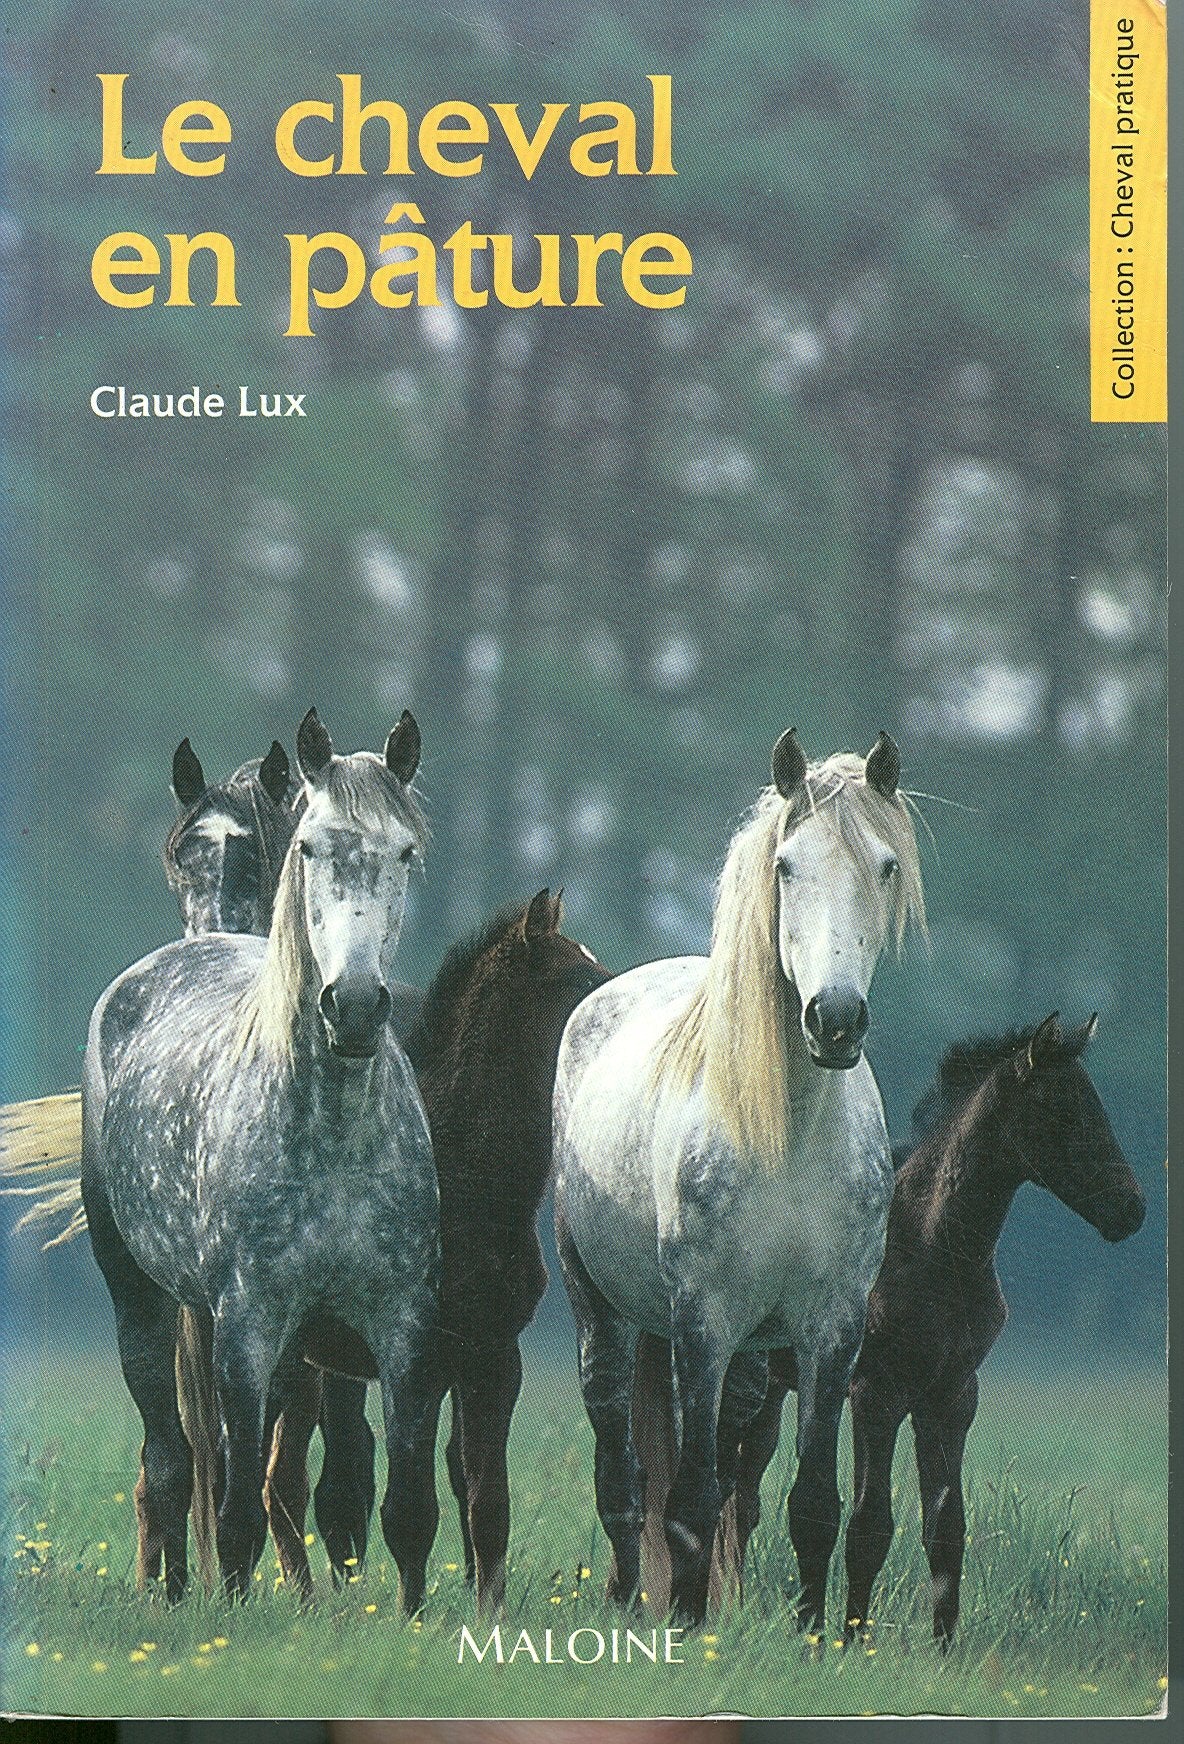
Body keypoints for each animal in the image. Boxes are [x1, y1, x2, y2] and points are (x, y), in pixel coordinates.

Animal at [80, 708, 443, 1608]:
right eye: (308, 847)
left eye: (404, 851)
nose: (355, 1005)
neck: (335, 1134)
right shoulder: (248, 1326)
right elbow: (240, 1504)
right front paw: (237, 1619)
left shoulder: (403, 1324)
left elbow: (406, 1504)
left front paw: (409, 1622)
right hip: (142, 1298)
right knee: (173, 1461)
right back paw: (175, 1593)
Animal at [257, 888, 612, 1611]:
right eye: (577, 981)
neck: (461, 1178)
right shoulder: (414, 1361)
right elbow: (410, 1510)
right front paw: (410, 1619)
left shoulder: (493, 1358)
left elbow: (487, 1502)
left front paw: (489, 1614)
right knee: (271, 1481)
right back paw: (294, 1603)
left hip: (308, 1363)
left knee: (285, 1482)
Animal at [552, 729, 926, 1627]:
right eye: (786, 865)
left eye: (886, 865)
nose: (834, 1019)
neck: (788, 1132)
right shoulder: (703, 1322)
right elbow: (687, 1496)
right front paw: (688, 1626)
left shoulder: (831, 1328)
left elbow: (810, 1500)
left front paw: (815, 1633)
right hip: (604, 1317)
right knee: (623, 1476)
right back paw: (629, 1598)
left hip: (755, 1357)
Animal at [716, 1012, 1145, 1645]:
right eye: (1059, 1109)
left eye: (1097, 1105)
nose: (1130, 1208)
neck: (933, 1247)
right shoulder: (879, 1394)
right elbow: (870, 1524)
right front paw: (852, 1642)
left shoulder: (951, 1397)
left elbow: (947, 1527)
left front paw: (943, 1649)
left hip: (773, 1387)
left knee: (742, 1494)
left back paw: (734, 1605)